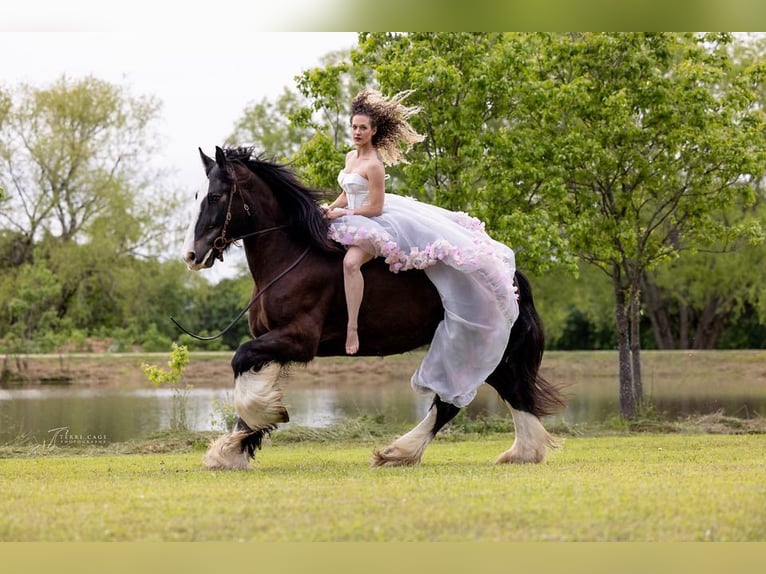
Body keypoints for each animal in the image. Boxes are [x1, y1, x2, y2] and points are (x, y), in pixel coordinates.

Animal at [180, 146, 564, 470]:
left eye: (215, 196)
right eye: (198, 196)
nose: (191, 256)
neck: (291, 256)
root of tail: (511, 275)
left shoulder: (298, 339)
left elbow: (240, 361)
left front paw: (244, 436)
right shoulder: (273, 341)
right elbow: (252, 377)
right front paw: (236, 447)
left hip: (470, 343)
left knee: (452, 401)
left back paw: (398, 452)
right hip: (488, 350)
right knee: (512, 391)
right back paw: (523, 453)